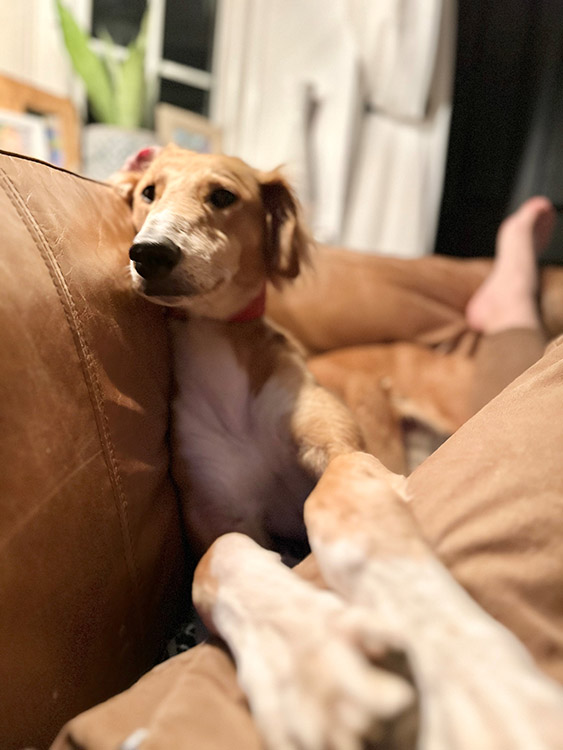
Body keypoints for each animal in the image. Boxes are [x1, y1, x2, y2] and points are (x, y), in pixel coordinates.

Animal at [110, 144, 366, 560]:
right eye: (148, 192)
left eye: (222, 196)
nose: (148, 254)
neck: (214, 329)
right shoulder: (220, 509)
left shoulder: (334, 440)